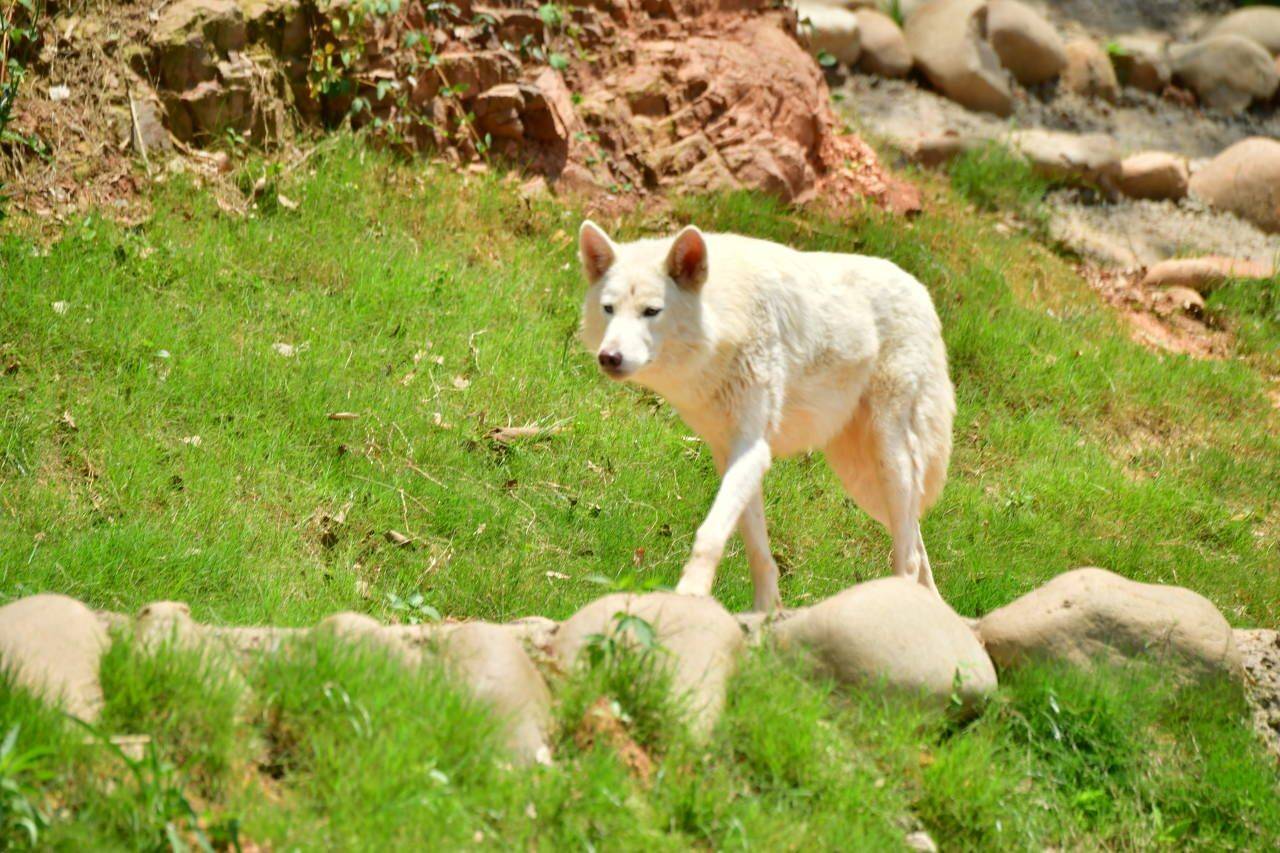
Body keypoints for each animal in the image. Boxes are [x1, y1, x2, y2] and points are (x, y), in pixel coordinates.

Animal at [578, 216, 952, 607]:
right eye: (609, 309)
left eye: (651, 311)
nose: (609, 357)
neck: (727, 321)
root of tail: (922, 291)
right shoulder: (729, 454)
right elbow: (759, 554)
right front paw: (766, 612)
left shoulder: (753, 449)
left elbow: (710, 534)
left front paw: (691, 595)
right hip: (864, 480)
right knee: (917, 544)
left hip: (888, 462)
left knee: (909, 558)